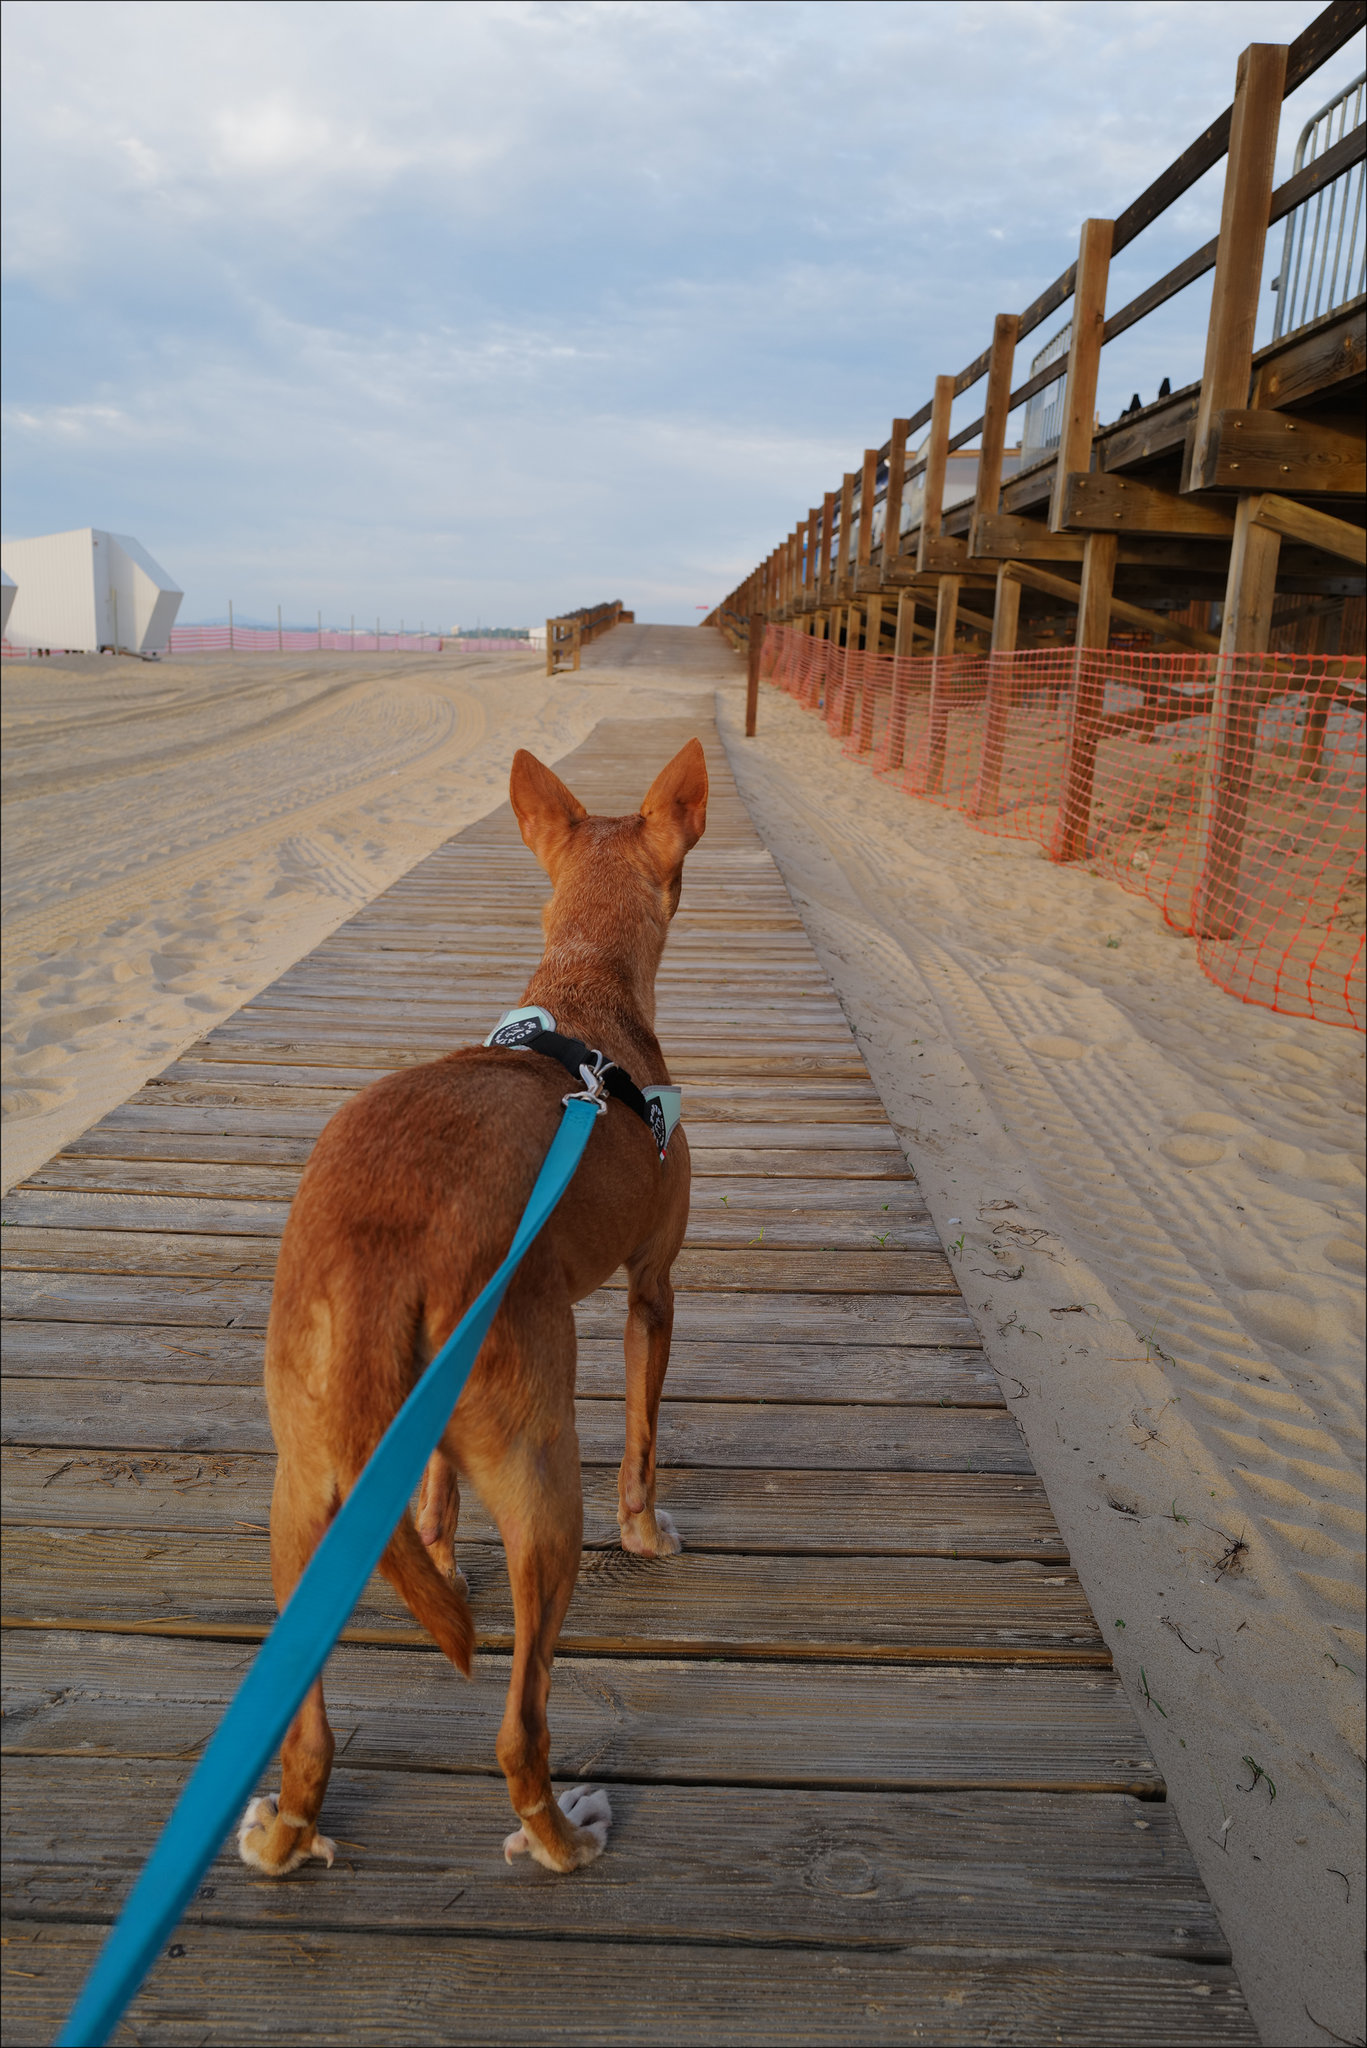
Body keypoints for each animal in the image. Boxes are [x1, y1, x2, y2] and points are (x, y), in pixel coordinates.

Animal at [239, 745, 705, 1875]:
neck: (583, 987)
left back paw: (285, 1834)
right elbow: (641, 1441)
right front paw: (648, 1534)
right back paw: (560, 1837)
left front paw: (442, 1547)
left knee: (309, 1737)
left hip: (300, 1498)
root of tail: (379, 1248)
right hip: (543, 1480)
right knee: (517, 1726)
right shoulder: (652, 1288)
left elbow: (436, 1503)